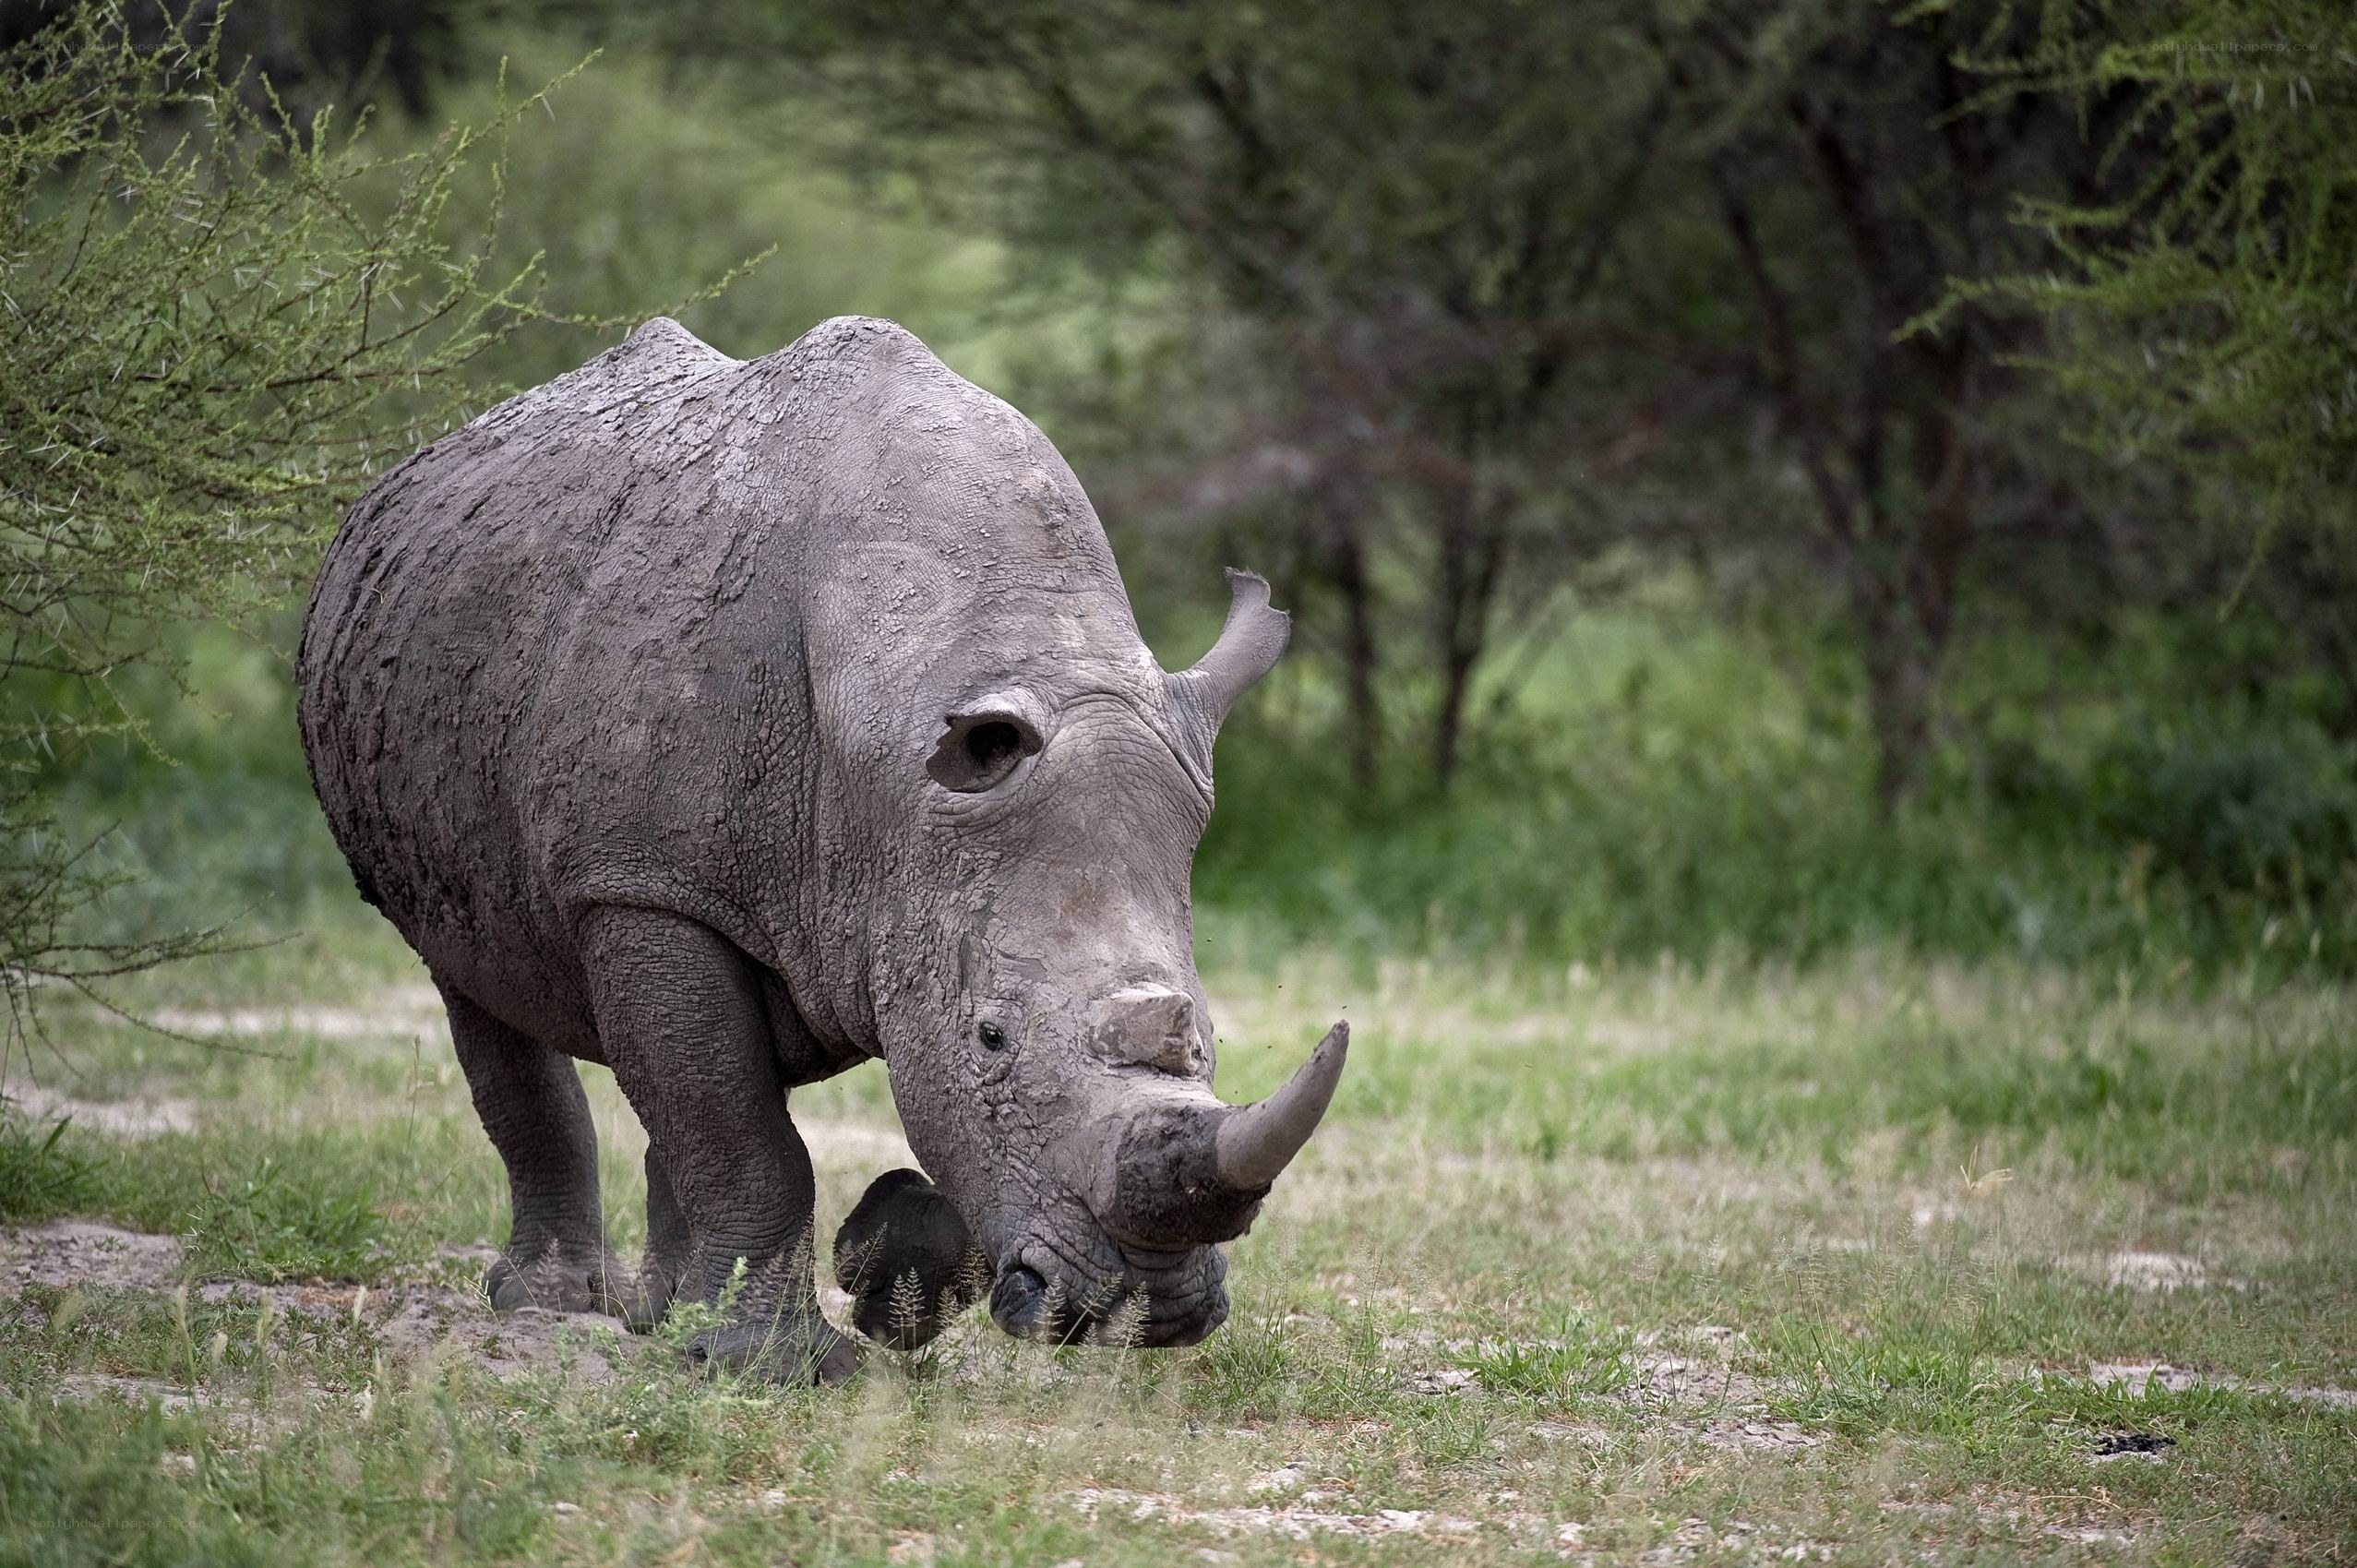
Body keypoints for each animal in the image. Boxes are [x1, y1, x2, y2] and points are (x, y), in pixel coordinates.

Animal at [296, 315, 1348, 1380]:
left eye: (1206, 1036)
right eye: (991, 1037)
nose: (1150, 1311)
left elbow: (734, 1106)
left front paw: (878, 1268)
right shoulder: (642, 883)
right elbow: (745, 1134)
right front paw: (777, 1367)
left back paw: (662, 1317)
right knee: (480, 981)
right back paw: (554, 1308)